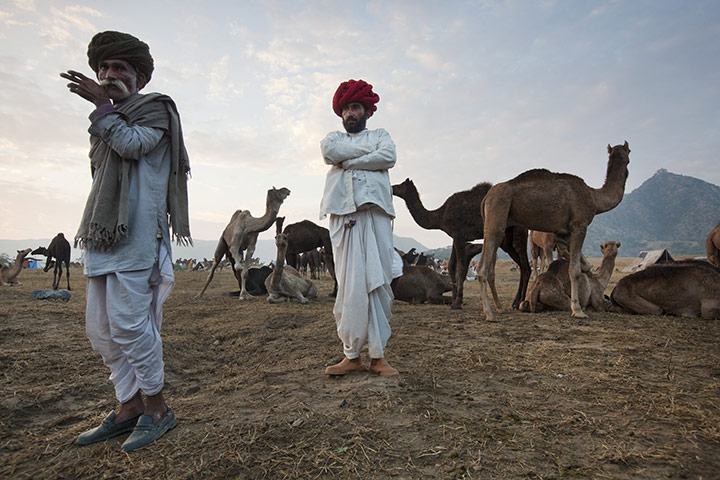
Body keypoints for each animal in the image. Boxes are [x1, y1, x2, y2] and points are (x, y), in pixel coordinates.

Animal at [392, 178, 530, 310]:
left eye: (400, 185)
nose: (392, 187)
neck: (441, 216)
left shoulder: (459, 234)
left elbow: (461, 267)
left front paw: (458, 303)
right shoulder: (455, 236)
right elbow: (451, 266)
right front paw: (454, 300)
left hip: (519, 231)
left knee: (525, 265)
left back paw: (520, 303)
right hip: (507, 240)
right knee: (521, 264)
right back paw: (515, 303)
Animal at [477, 142, 630, 321]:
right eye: (629, 153)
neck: (594, 197)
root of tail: (486, 198)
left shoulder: (564, 233)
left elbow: (578, 261)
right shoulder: (579, 225)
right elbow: (574, 270)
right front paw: (577, 310)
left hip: (497, 224)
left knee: (491, 268)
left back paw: (500, 308)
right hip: (497, 216)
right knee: (482, 268)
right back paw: (490, 314)